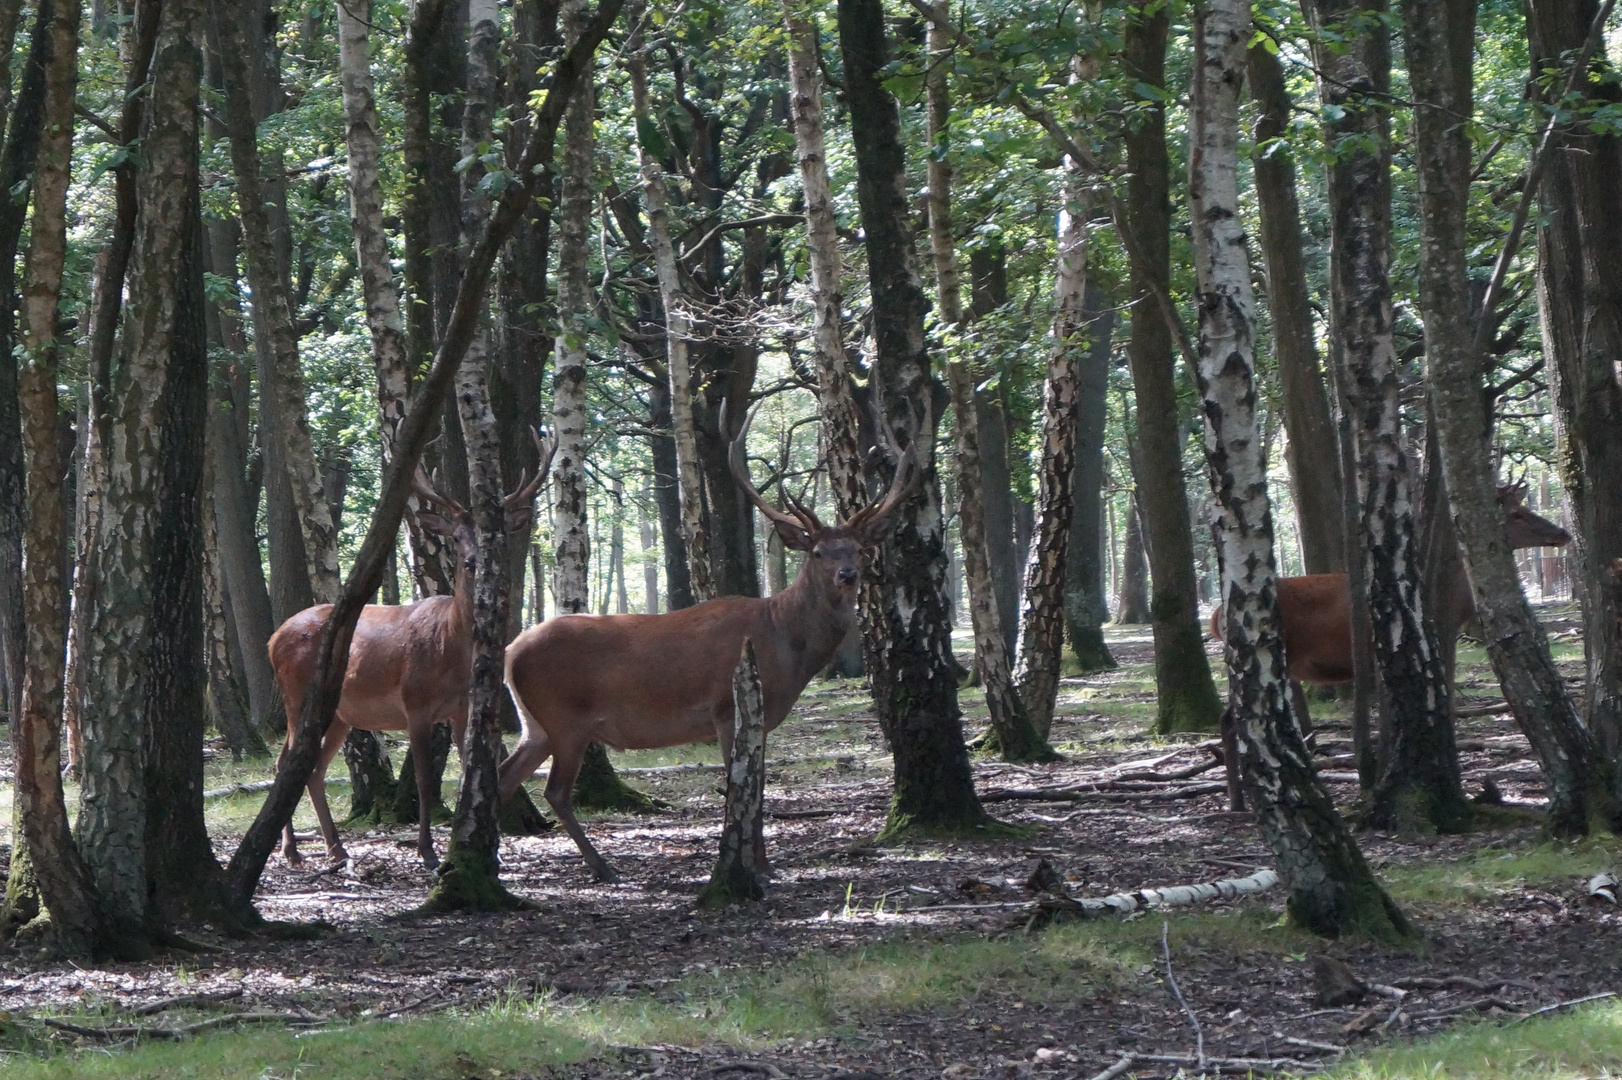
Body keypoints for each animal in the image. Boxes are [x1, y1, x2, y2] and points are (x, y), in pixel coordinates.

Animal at [261, 428, 551, 869]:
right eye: (455, 536)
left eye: (492, 538)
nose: (472, 562)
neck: (450, 646)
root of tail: (273, 637)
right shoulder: (414, 703)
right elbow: (424, 778)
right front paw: (427, 851)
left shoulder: (461, 707)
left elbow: (465, 774)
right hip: (294, 696)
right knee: (285, 763)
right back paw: (293, 850)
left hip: (340, 714)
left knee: (311, 768)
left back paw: (335, 848)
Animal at [499, 408, 921, 882]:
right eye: (818, 552)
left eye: (859, 549)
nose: (847, 575)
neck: (782, 643)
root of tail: (510, 652)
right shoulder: (725, 706)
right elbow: (741, 784)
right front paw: (754, 864)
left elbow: (755, 783)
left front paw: (762, 864)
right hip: (564, 718)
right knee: (554, 790)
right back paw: (602, 867)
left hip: (536, 724)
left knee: (504, 776)